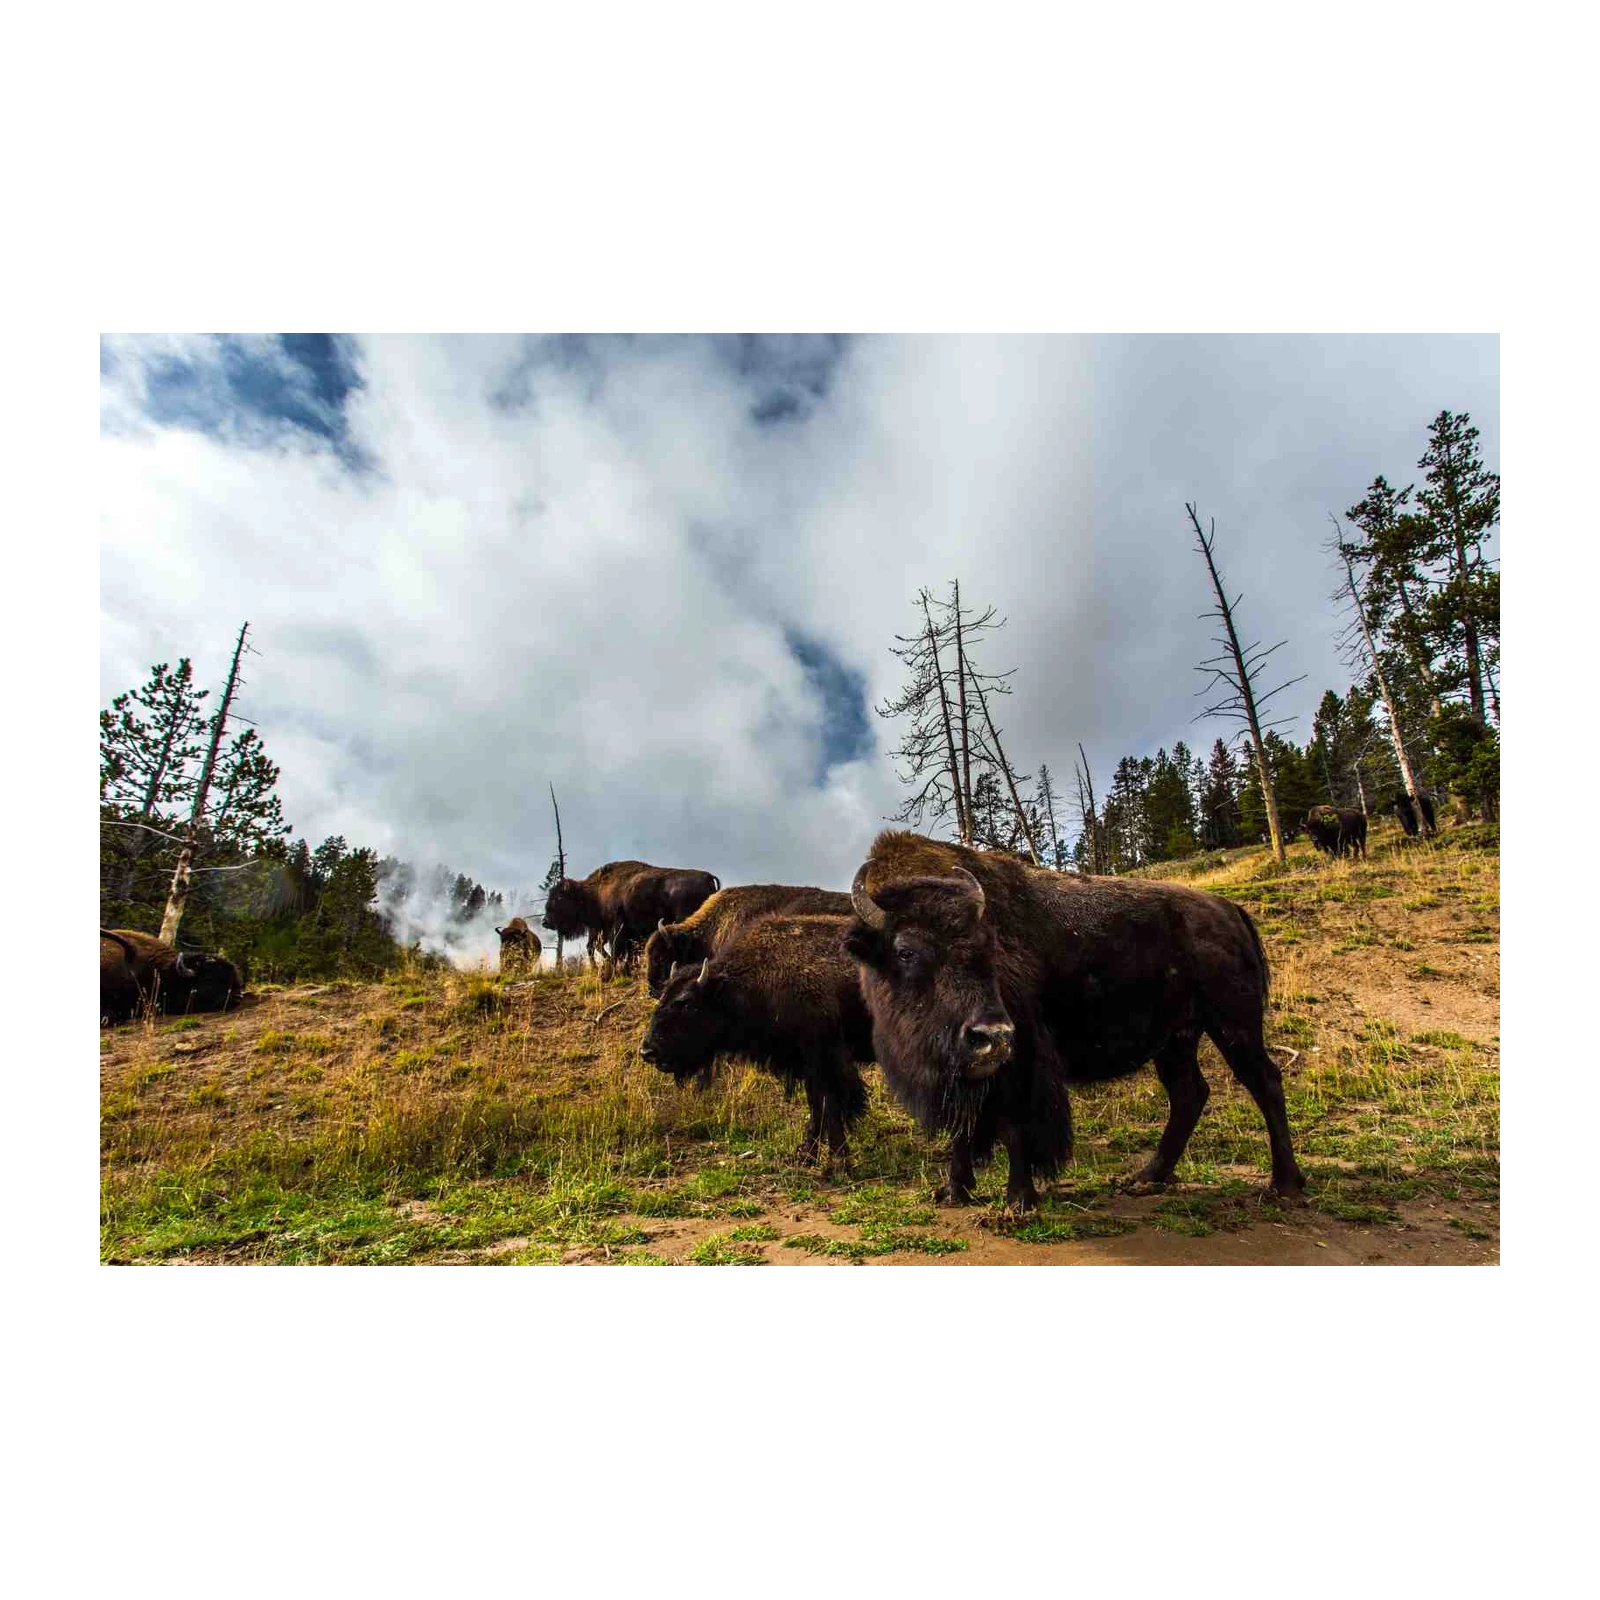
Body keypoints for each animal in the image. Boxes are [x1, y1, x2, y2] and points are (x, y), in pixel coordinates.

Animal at [543, 861, 720, 971]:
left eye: (559, 897)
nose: (545, 922)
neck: (594, 892)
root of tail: (707, 877)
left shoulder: (617, 927)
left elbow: (615, 949)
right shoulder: (609, 930)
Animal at [640, 913, 873, 1169]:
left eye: (686, 1003)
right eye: (664, 997)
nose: (648, 1051)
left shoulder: (825, 1058)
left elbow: (830, 1106)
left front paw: (839, 1163)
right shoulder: (805, 1063)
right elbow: (817, 1106)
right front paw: (806, 1155)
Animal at [844, 831, 1304, 1212]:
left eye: (990, 946)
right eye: (906, 951)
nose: (991, 1036)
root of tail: (1229, 909)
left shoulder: (1021, 1062)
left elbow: (1015, 1125)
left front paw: (1019, 1200)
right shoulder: (966, 1074)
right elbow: (965, 1127)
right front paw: (953, 1192)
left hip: (1233, 1025)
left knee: (1264, 1081)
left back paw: (1285, 1185)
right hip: (1177, 1039)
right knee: (1189, 1093)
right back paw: (1147, 1177)